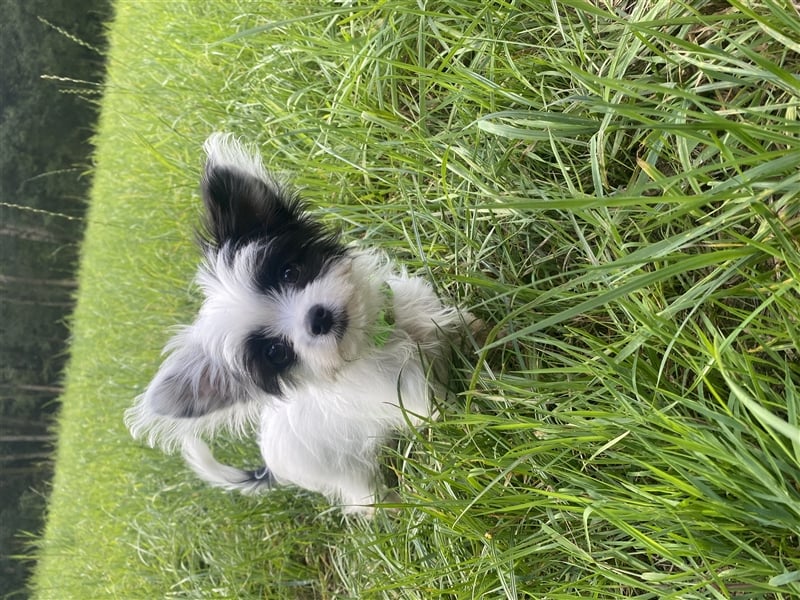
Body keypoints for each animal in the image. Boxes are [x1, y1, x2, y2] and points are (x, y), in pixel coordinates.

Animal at [125, 135, 476, 516]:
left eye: (289, 273)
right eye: (276, 352)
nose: (317, 317)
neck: (375, 338)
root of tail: (270, 466)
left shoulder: (429, 314)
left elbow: (463, 327)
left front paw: (486, 335)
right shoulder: (414, 399)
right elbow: (447, 411)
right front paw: (475, 415)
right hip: (348, 476)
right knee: (366, 499)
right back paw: (395, 507)